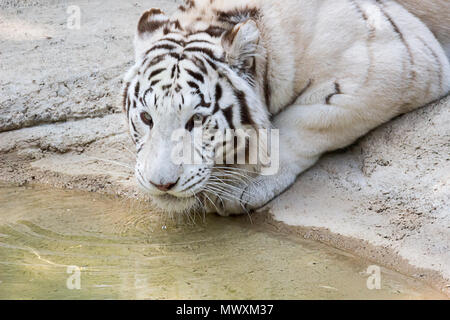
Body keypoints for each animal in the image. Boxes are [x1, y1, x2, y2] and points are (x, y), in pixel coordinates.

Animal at [122, 0, 450, 216]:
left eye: (197, 119)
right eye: (147, 117)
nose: (161, 184)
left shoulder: (396, 60)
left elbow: (306, 123)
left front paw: (245, 186)